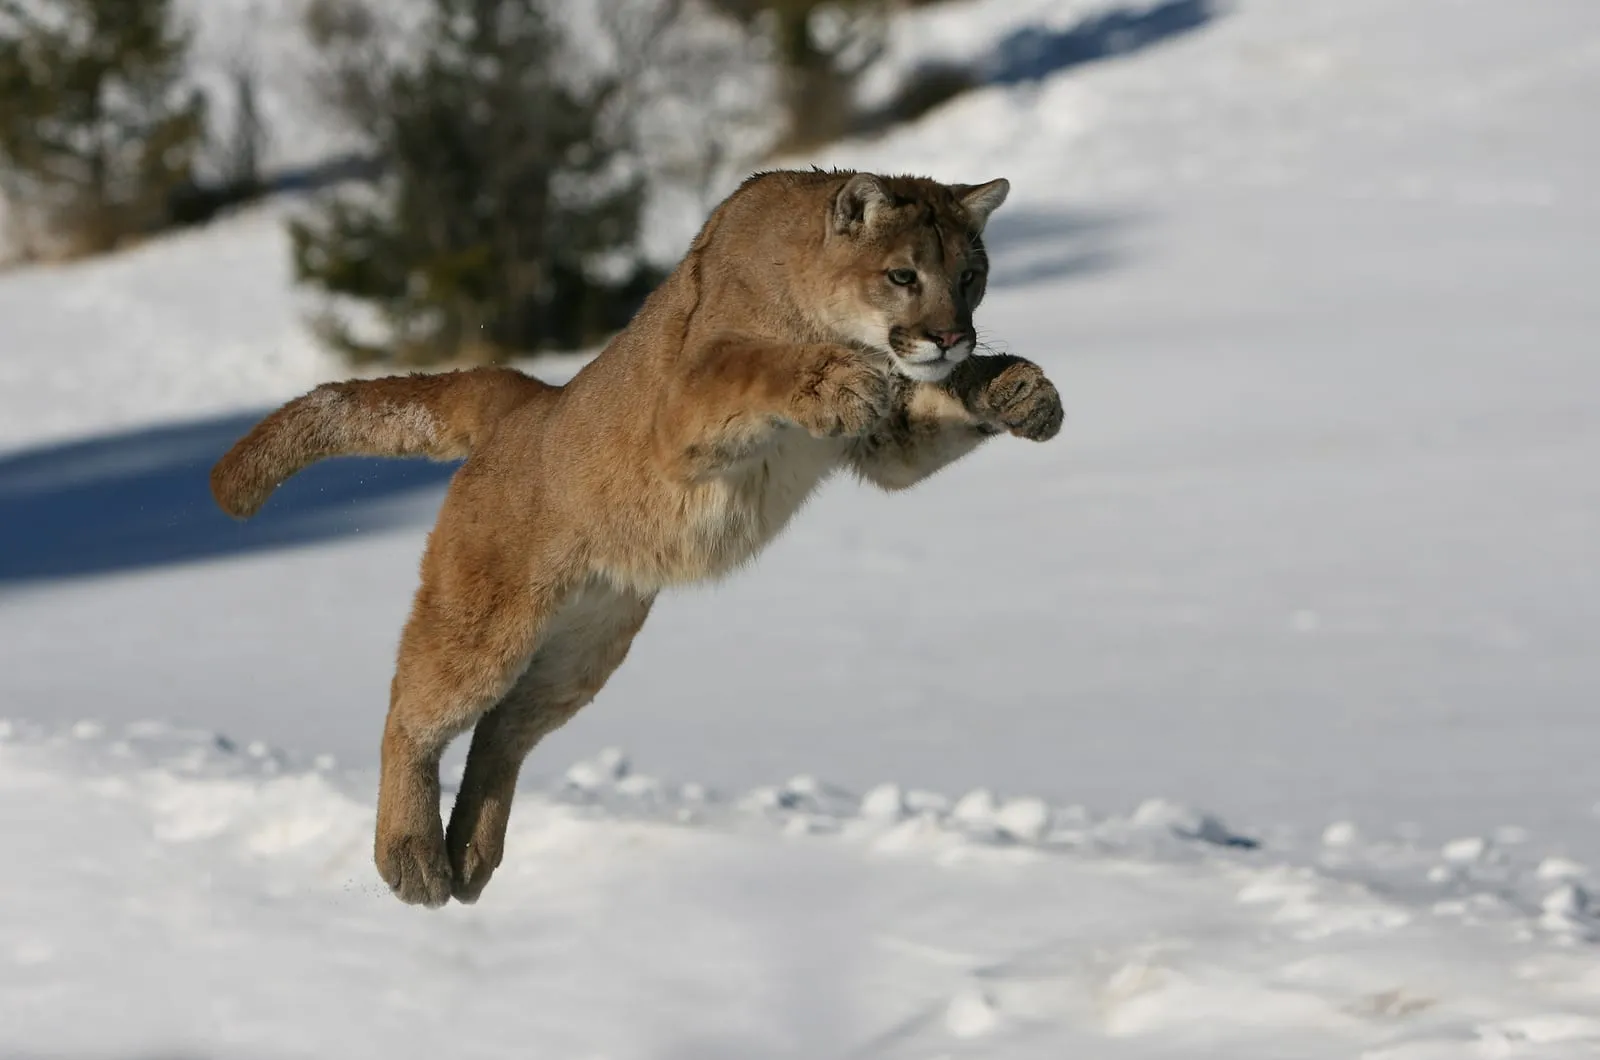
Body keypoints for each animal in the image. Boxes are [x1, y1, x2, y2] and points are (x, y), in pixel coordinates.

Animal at [210, 169, 1064, 907]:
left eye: (971, 277)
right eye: (902, 275)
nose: (952, 336)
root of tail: (530, 400)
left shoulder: (886, 446)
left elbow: (932, 416)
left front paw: (1018, 388)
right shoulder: (686, 410)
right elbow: (751, 365)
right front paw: (835, 377)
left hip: (586, 644)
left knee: (502, 731)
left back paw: (472, 856)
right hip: (484, 621)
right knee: (413, 712)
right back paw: (414, 856)